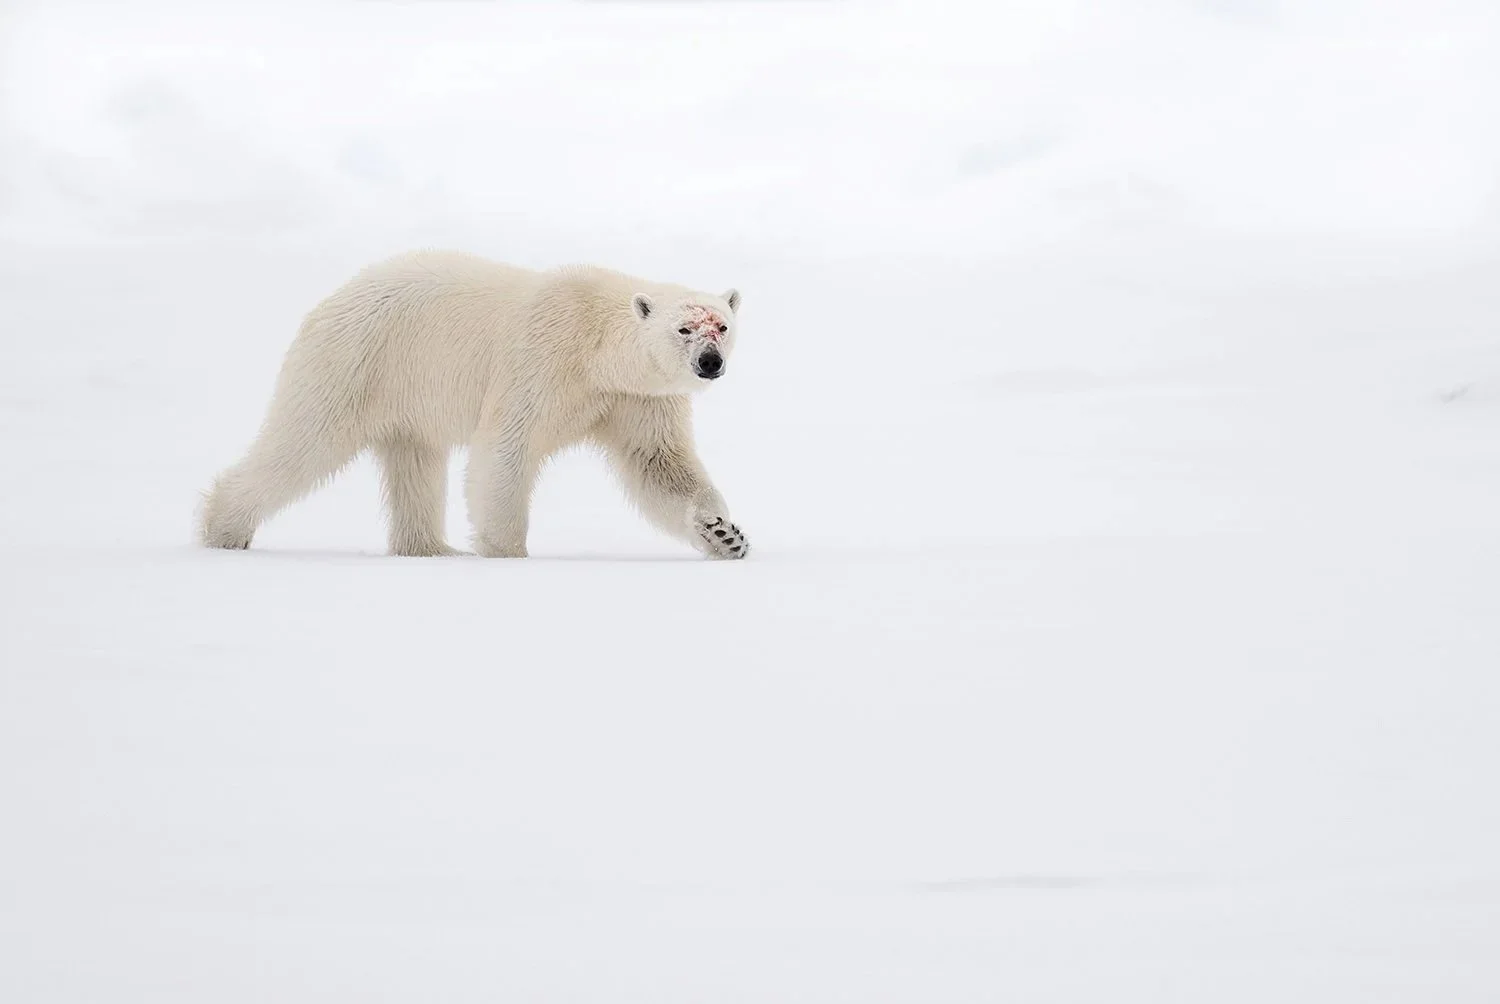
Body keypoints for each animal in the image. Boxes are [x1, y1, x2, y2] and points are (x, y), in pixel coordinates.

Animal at [198, 250, 749, 559]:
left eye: (721, 324)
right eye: (684, 328)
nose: (710, 362)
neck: (596, 348)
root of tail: (330, 300)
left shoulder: (637, 398)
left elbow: (660, 464)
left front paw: (725, 535)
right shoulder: (542, 361)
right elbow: (506, 449)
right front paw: (506, 552)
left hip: (406, 397)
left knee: (415, 464)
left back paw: (430, 549)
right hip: (353, 363)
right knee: (300, 444)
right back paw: (223, 531)